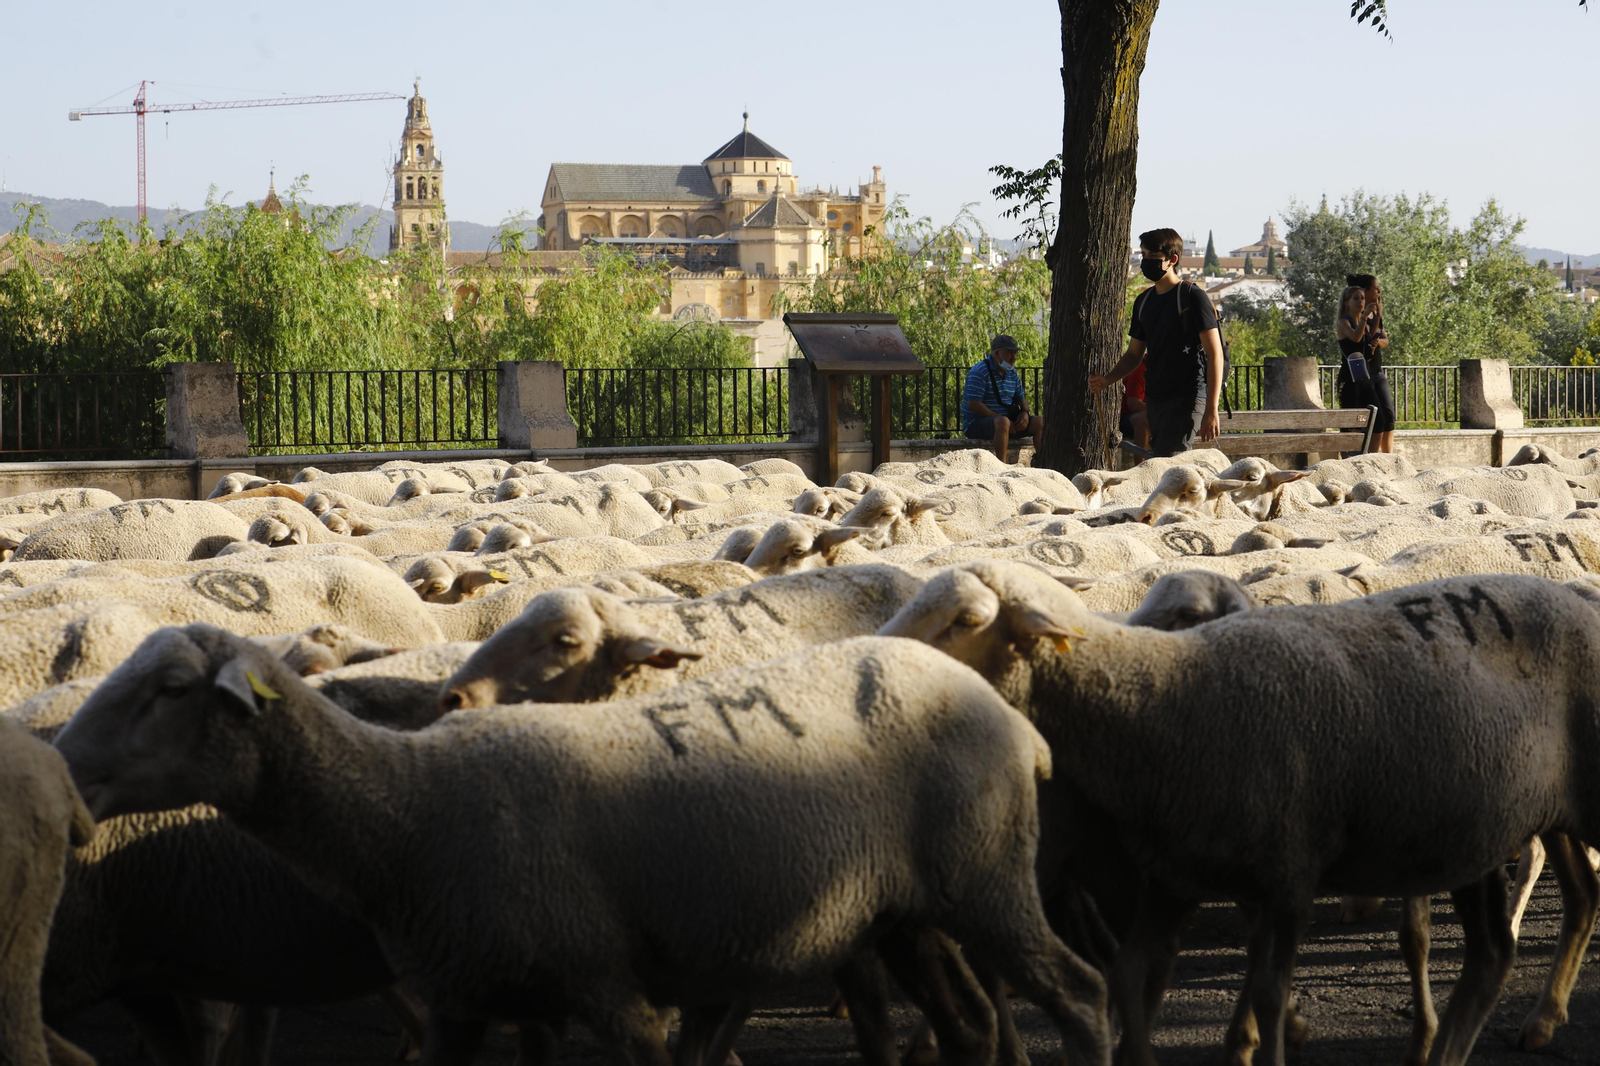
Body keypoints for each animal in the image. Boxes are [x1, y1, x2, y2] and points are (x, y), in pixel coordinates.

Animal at [56, 624, 1111, 1066]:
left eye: (172, 690)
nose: (62, 762)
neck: (409, 811)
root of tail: (1017, 726)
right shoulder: (465, 1001)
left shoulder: (610, 986)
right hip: (906, 912)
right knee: (969, 1025)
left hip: (988, 880)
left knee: (1080, 992)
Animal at [880, 560, 1600, 1066]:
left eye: (965, 620)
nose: (875, 655)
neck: (1167, 694)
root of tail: (1575, 598)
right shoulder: (1174, 879)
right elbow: (1129, 978)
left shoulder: (1288, 873)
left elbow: (1267, 993)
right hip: (1471, 825)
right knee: (1494, 954)